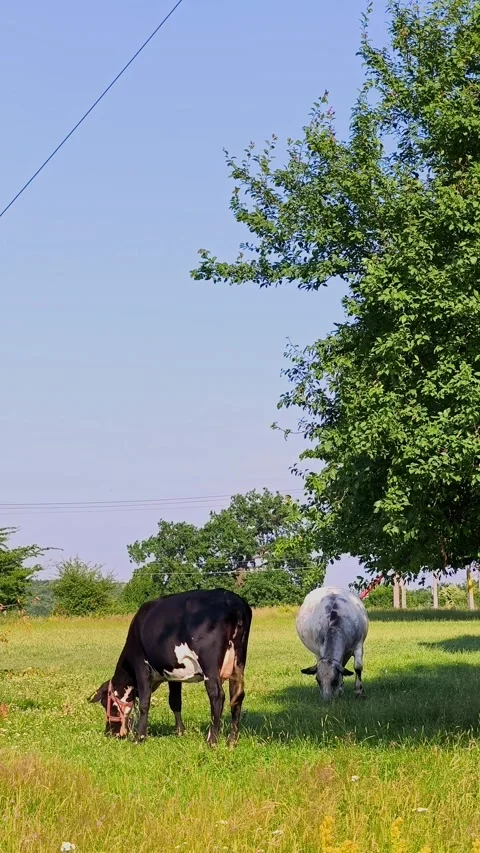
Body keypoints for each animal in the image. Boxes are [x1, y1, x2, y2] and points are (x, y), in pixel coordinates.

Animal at [88, 588, 252, 746]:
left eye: (105, 703)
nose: (109, 733)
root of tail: (231, 600)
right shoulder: (174, 674)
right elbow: (175, 702)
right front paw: (180, 732)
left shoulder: (141, 665)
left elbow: (144, 702)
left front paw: (140, 737)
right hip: (238, 662)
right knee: (237, 695)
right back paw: (232, 740)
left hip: (209, 663)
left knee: (217, 695)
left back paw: (212, 740)